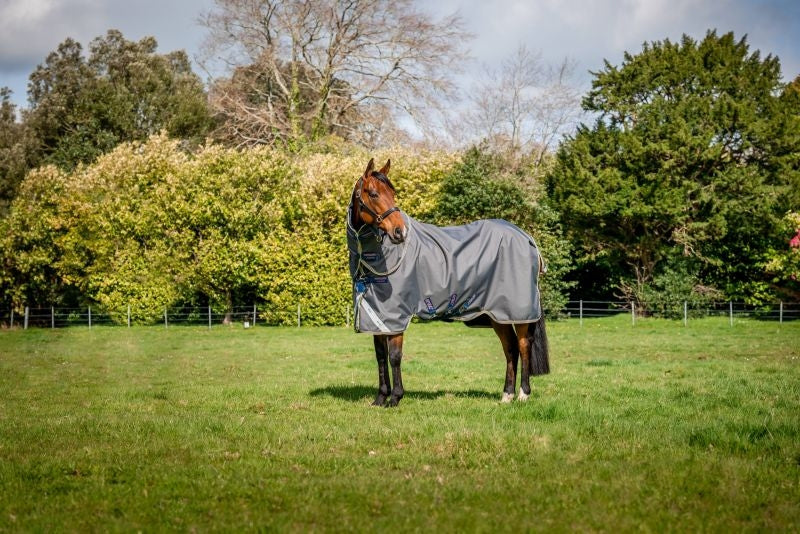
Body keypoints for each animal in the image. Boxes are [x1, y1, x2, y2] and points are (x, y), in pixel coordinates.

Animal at [347, 158, 549, 407]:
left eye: (393, 193)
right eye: (374, 194)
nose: (399, 232)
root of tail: (526, 238)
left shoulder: (396, 317)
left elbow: (394, 357)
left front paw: (395, 398)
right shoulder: (379, 317)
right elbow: (380, 357)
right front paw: (380, 399)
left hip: (519, 312)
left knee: (523, 345)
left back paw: (523, 394)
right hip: (498, 314)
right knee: (510, 348)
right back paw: (506, 395)